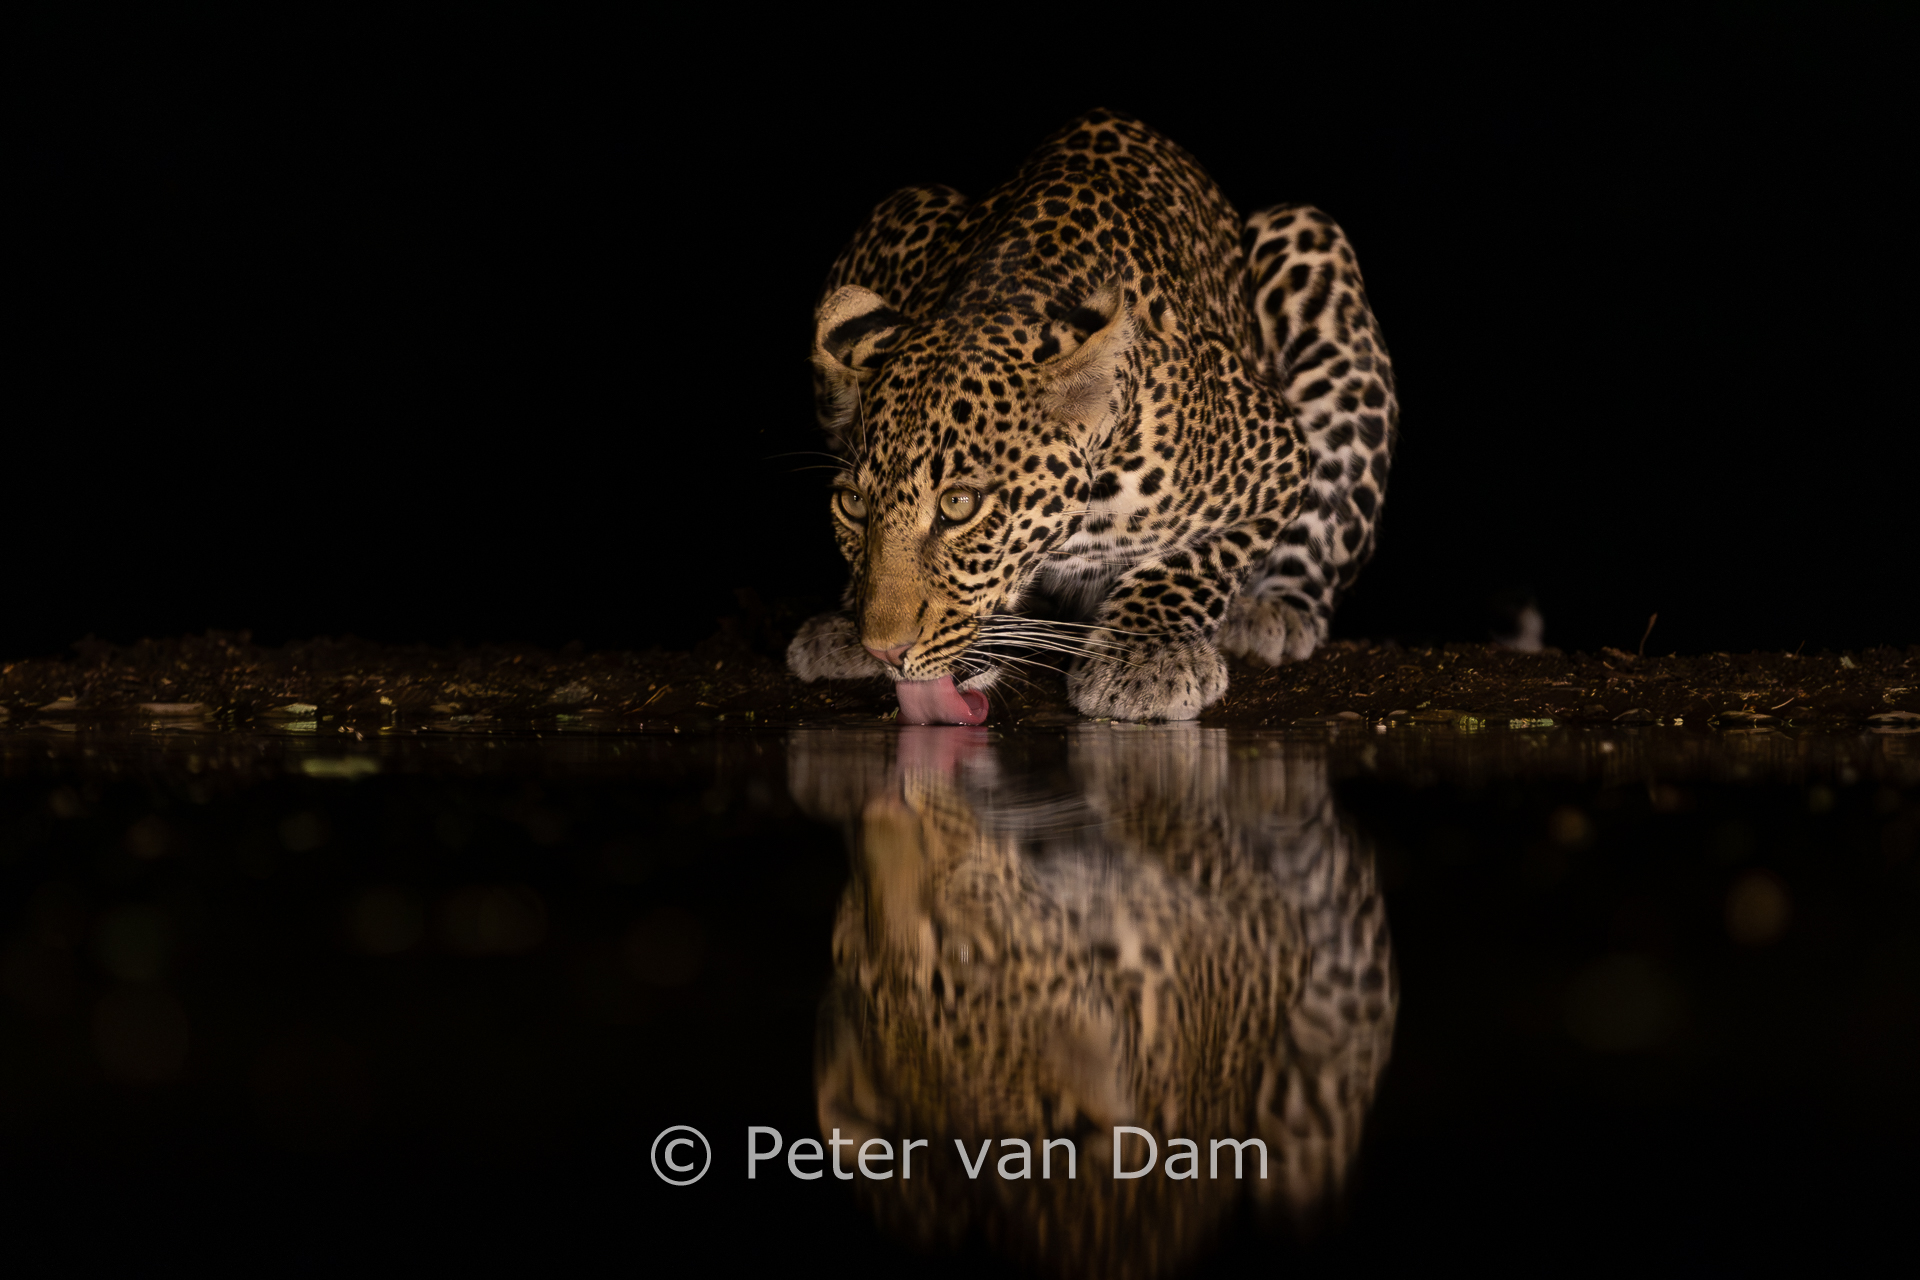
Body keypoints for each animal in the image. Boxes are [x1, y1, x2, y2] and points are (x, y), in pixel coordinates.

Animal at [786, 108, 1399, 723]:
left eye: (959, 505)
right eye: (853, 504)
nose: (883, 650)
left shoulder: (1277, 458)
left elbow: (1197, 560)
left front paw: (1143, 658)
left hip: (1309, 244)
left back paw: (1273, 612)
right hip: (901, 205)